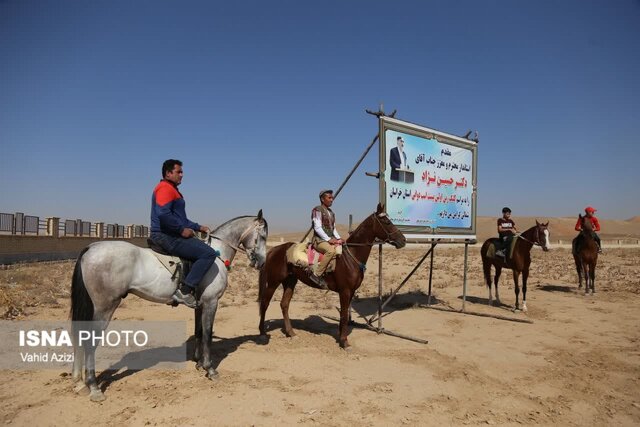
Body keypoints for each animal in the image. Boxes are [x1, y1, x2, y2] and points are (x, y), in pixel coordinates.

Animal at [256, 206, 402, 350]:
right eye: (387, 222)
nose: (403, 240)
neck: (350, 257)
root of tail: (274, 250)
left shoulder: (351, 292)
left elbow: (344, 315)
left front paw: (341, 336)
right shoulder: (345, 291)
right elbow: (344, 315)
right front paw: (344, 342)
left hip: (290, 281)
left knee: (284, 304)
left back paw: (291, 332)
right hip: (274, 282)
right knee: (265, 303)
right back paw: (262, 333)